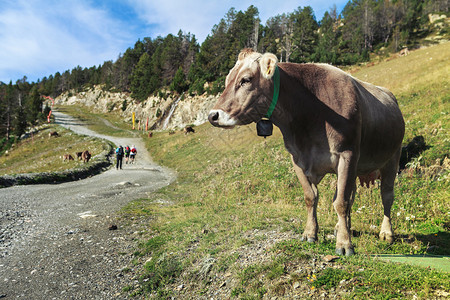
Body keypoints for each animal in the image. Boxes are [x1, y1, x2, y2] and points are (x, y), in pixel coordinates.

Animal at [209, 48, 406, 255]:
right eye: (227, 80)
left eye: (245, 80)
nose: (213, 115)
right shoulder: (297, 159)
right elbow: (312, 197)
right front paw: (310, 233)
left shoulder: (347, 154)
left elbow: (341, 203)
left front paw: (345, 244)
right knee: (351, 195)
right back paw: (341, 227)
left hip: (392, 158)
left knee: (386, 196)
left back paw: (386, 233)